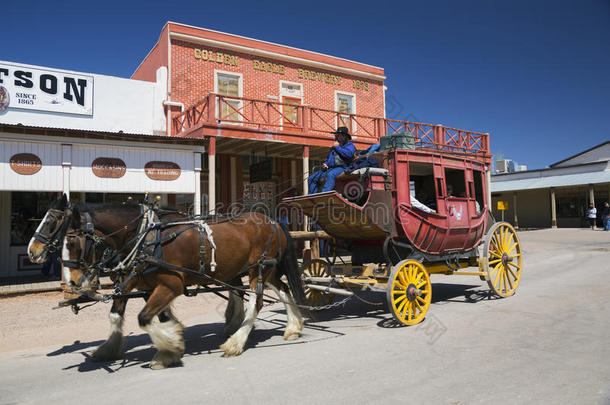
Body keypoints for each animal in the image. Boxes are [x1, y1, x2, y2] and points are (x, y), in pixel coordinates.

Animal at [27, 194, 304, 368]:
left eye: (72, 241)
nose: (32, 251)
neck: (145, 235)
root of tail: (272, 220)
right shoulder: (139, 283)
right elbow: (126, 316)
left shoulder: (171, 285)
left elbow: (144, 318)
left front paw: (170, 347)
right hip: (262, 270)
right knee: (282, 290)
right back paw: (292, 327)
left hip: (260, 268)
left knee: (256, 302)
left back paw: (236, 341)